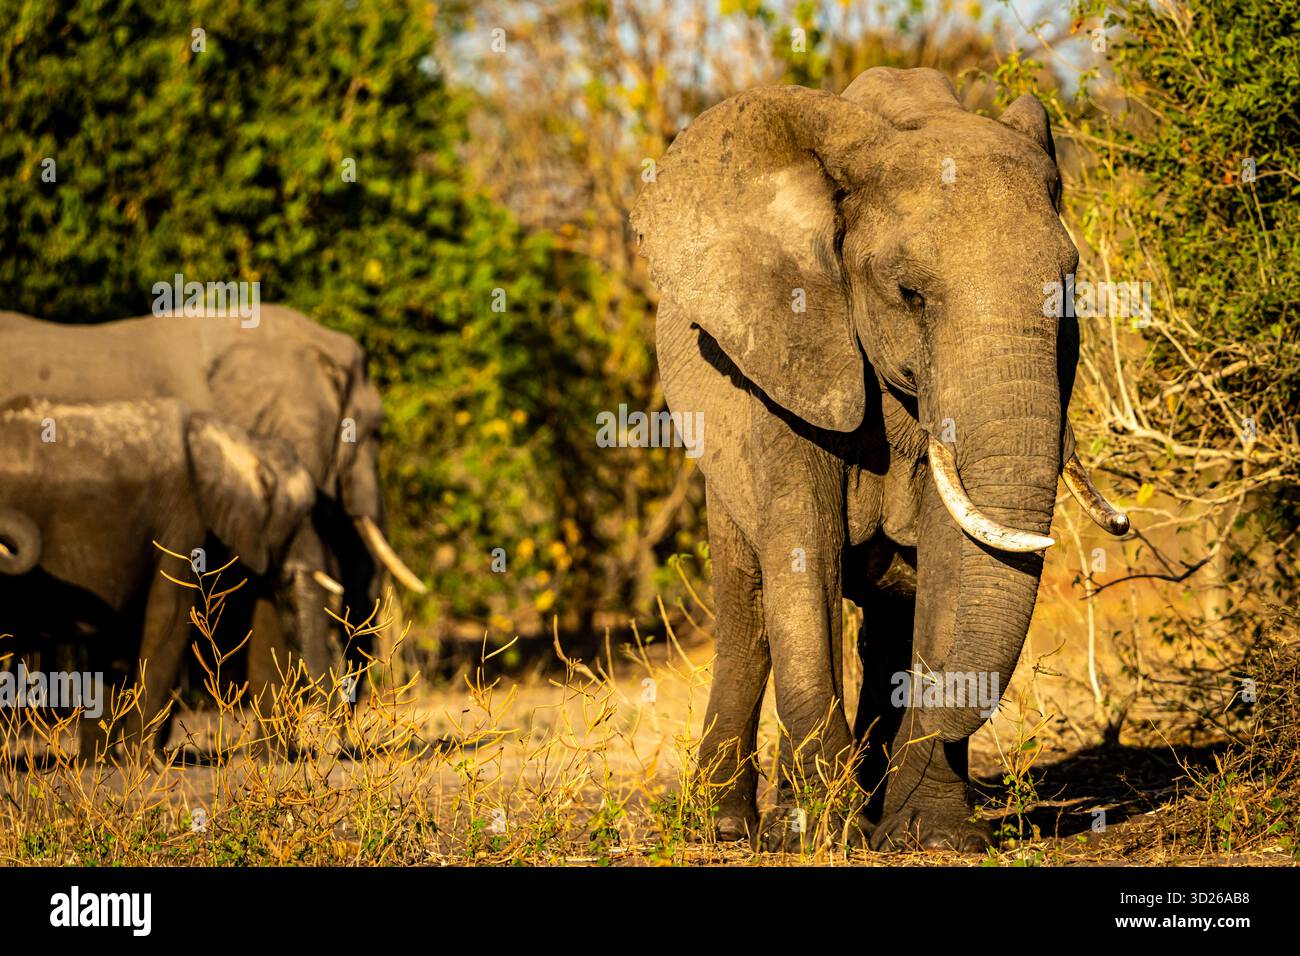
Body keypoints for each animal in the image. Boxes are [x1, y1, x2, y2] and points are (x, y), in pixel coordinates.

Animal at [631, 67, 1130, 851]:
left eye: (1070, 288)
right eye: (909, 294)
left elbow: (951, 567)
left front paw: (932, 836)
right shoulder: (785, 358)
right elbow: (803, 555)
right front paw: (815, 833)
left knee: (888, 619)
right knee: (749, 611)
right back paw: (731, 827)